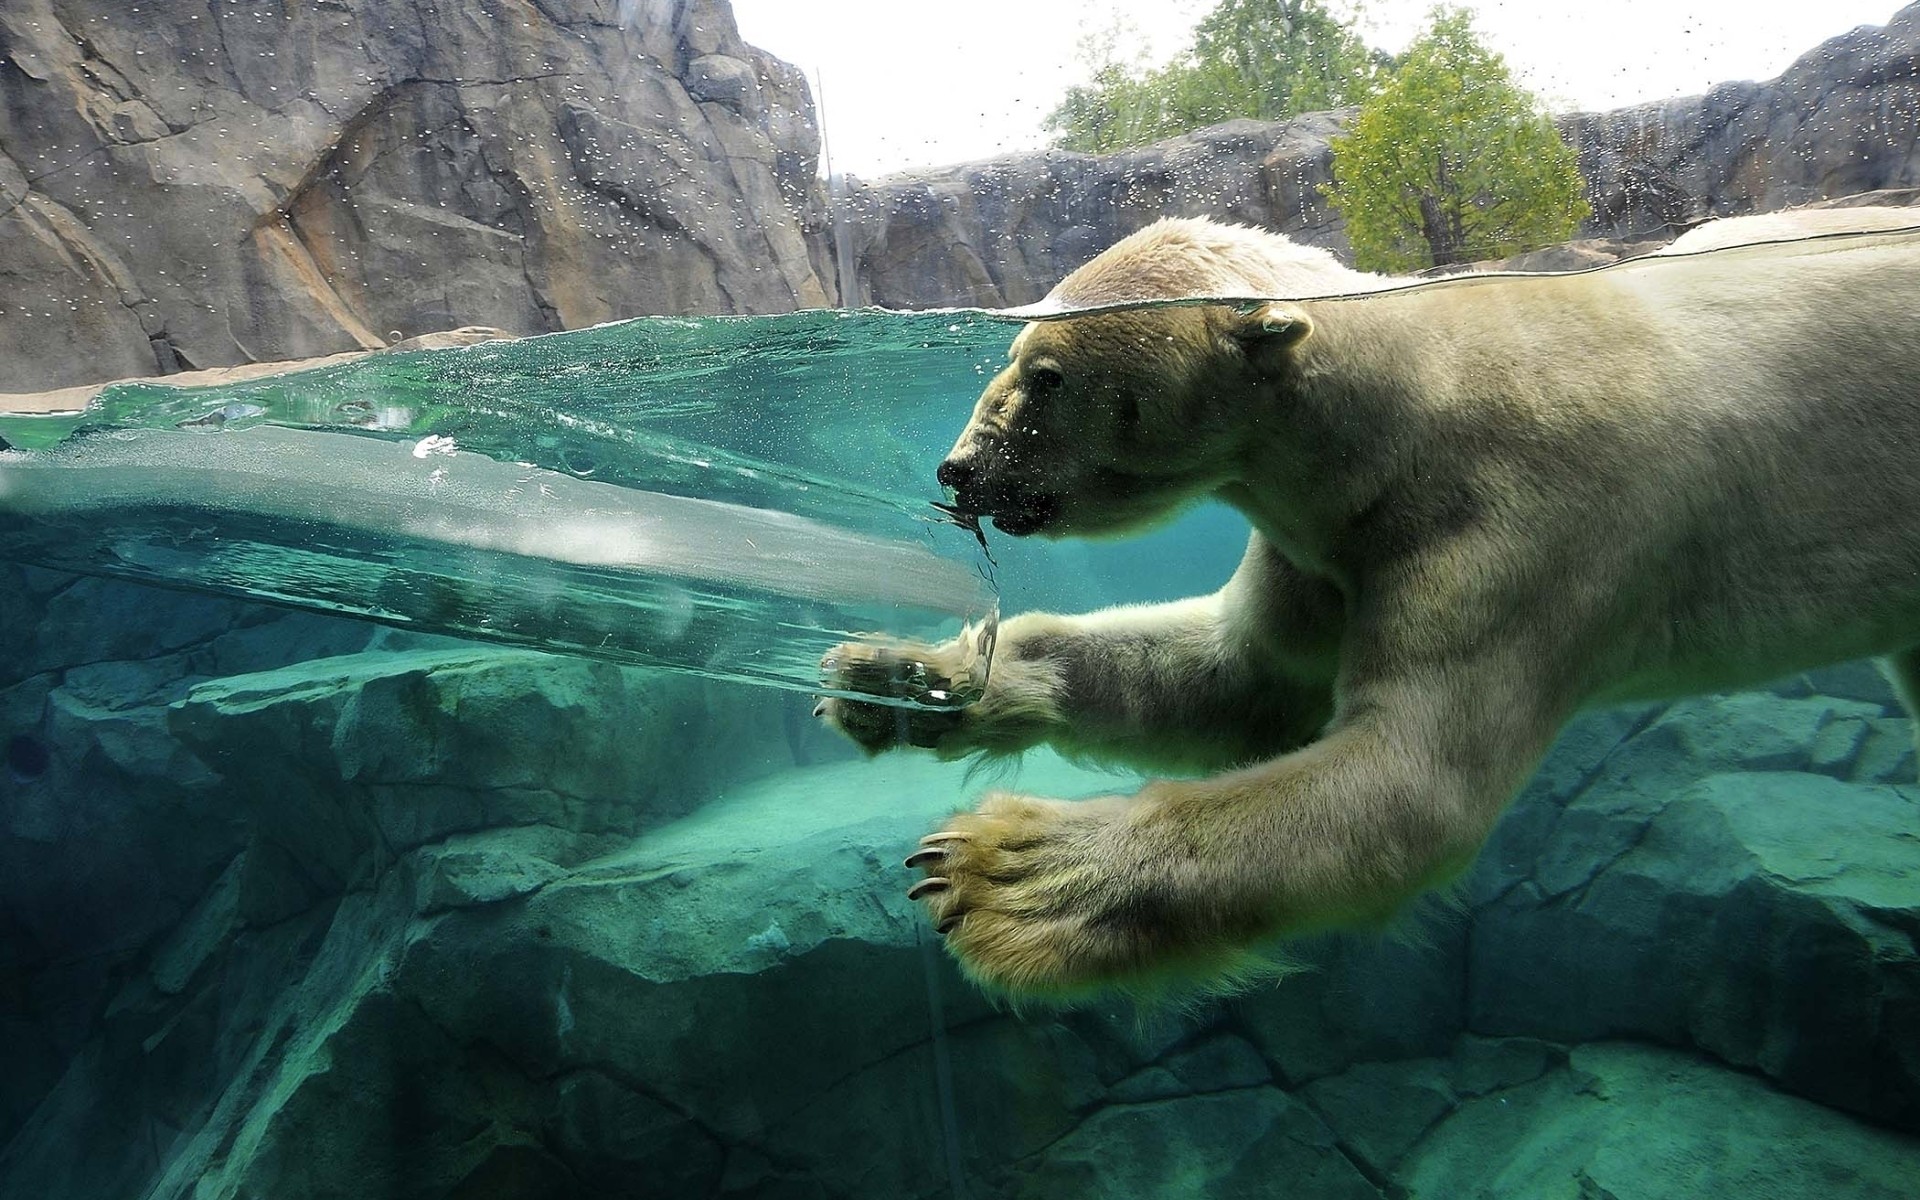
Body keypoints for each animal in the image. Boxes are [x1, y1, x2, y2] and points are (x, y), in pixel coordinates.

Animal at [821, 213, 1920, 990]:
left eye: (1046, 375)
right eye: (1014, 358)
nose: (959, 468)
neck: (1405, 417)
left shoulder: (1513, 532)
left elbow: (1408, 782)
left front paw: (1000, 870)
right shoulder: (1325, 545)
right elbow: (1235, 676)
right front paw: (896, 676)